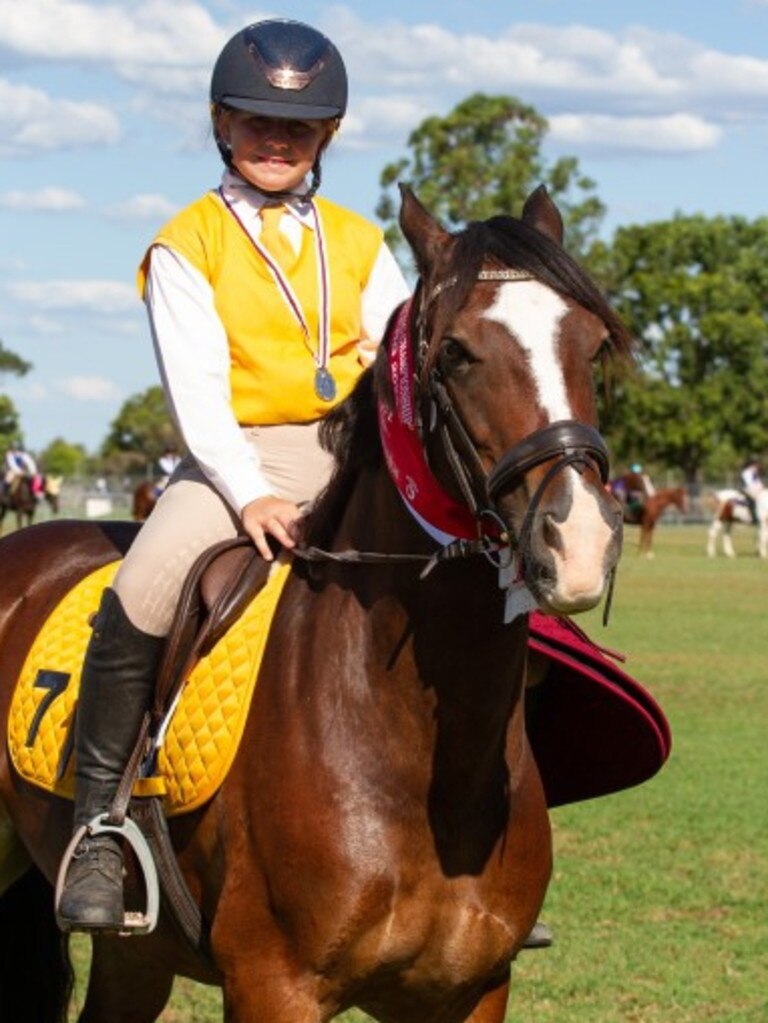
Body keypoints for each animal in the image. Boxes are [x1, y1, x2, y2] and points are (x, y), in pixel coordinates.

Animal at [0, 188, 634, 1023]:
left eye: (591, 345)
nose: (580, 538)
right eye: (455, 353)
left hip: (136, 953)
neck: (422, 759)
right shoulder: (275, 985)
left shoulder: (470, 990)